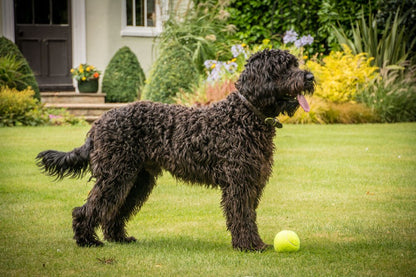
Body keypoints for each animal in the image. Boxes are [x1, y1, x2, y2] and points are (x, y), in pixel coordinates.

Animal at [37, 49, 314, 250]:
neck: (245, 114)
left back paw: (119, 238)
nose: (310, 77)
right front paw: (248, 246)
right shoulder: (239, 182)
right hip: (115, 175)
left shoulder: (253, 181)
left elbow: (249, 216)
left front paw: (256, 243)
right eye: (283, 68)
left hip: (136, 179)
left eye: (295, 64)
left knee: (114, 210)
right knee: (88, 209)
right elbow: (242, 215)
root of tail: (98, 123)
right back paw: (87, 241)